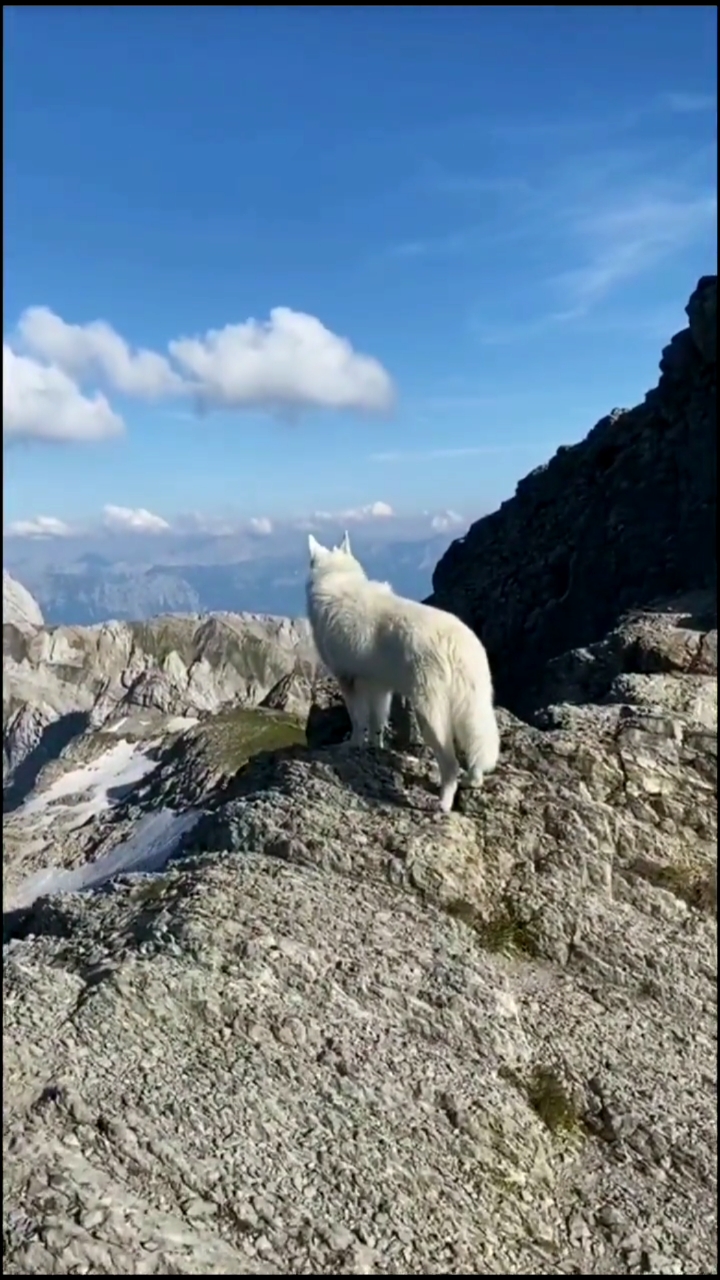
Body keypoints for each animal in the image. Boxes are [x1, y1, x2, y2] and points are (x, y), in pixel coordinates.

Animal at [303, 529, 499, 808]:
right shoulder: (379, 686)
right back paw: (473, 780)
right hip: (474, 703)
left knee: (450, 764)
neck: (337, 578)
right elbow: (377, 721)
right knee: (478, 743)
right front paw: (376, 747)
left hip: (428, 713)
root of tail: (455, 643)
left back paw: (443, 803)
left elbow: (358, 719)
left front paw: (352, 745)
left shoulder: (348, 679)